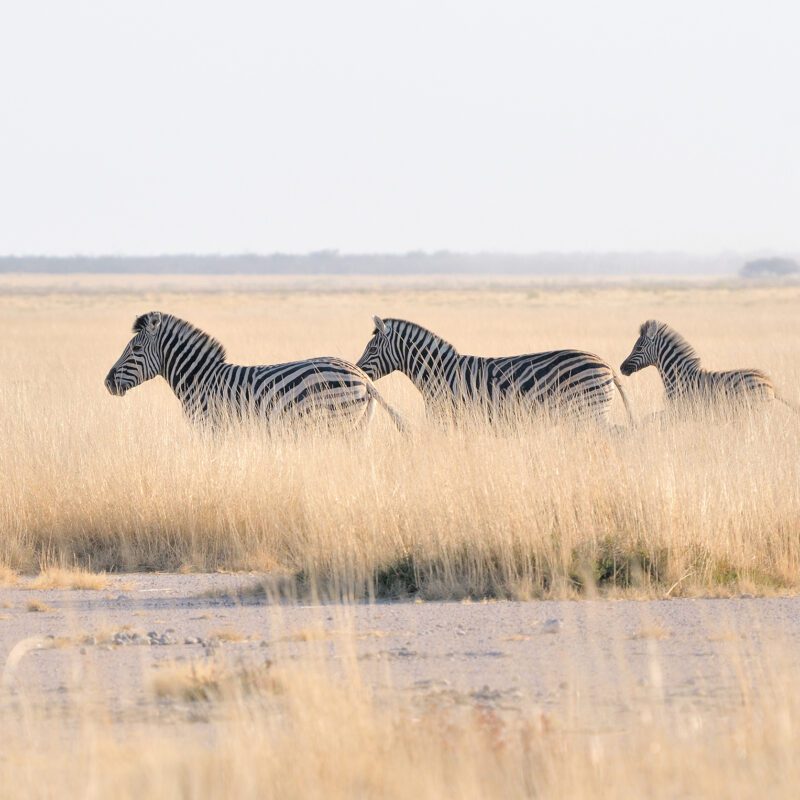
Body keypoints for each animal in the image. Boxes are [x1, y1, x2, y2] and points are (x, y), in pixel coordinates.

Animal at [104, 311, 405, 431]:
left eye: (136, 350)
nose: (107, 382)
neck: (199, 379)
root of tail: (364, 378)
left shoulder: (211, 427)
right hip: (357, 426)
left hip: (337, 420)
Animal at [355, 316, 633, 425]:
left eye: (372, 349)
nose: (357, 370)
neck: (440, 373)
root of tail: (605, 363)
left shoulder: (451, 417)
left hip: (588, 411)